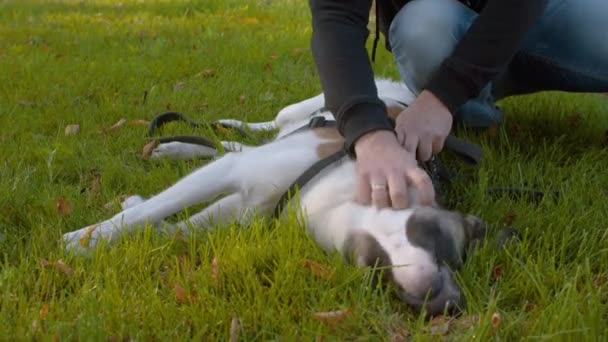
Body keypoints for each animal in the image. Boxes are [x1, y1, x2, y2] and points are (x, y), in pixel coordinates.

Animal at [63, 77, 484, 316]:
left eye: (458, 258)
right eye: (440, 241)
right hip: (303, 106)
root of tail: (407, 94)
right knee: (264, 127)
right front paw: (86, 238)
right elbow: (149, 213)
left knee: (235, 146)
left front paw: (113, 234)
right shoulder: (231, 177)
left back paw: (188, 146)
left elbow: (176, 228)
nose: (453, 306)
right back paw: (214, 132)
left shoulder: (241, 206)